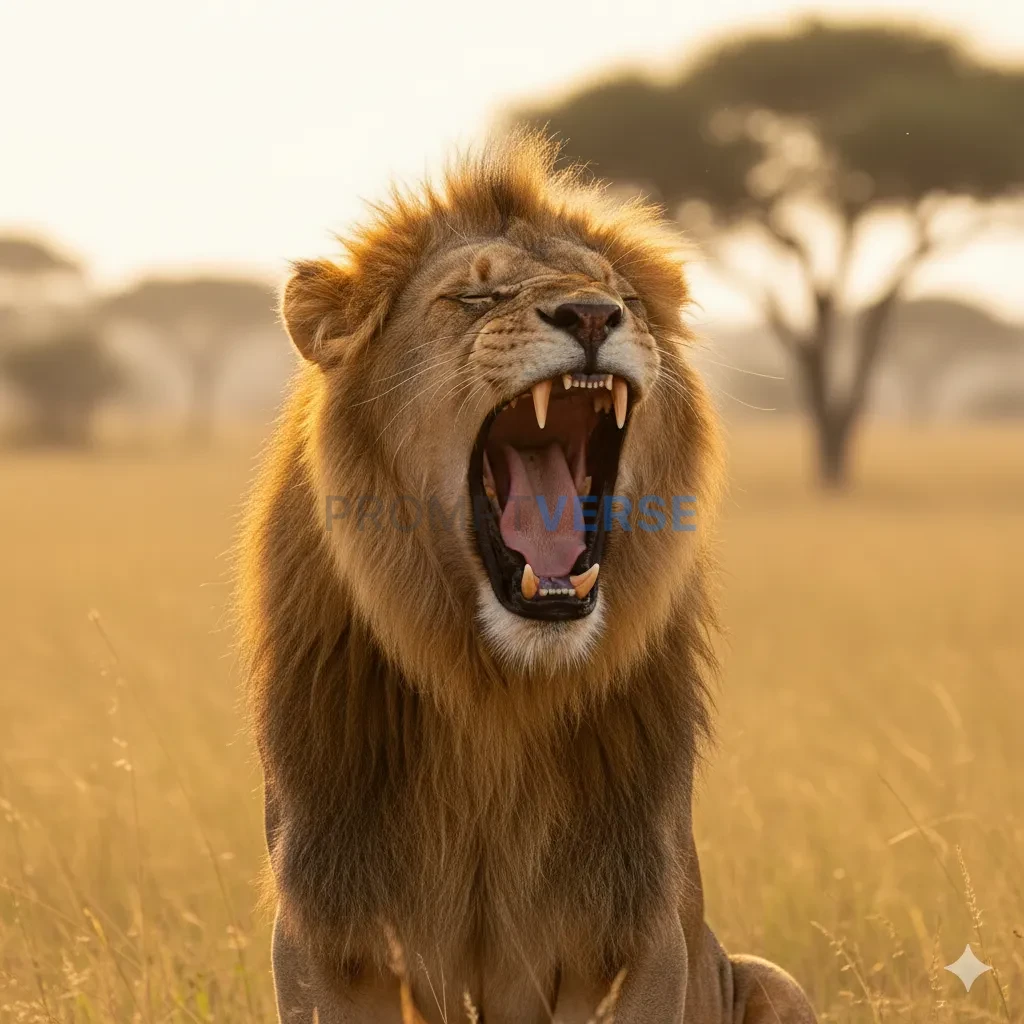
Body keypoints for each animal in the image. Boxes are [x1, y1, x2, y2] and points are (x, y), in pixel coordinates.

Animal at [238, 130, 817, 1023]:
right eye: (476, 298)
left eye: (624, 297)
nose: (592, 315)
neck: (497, 698)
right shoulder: (327, 933)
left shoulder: (637, 930)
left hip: (768, 978)